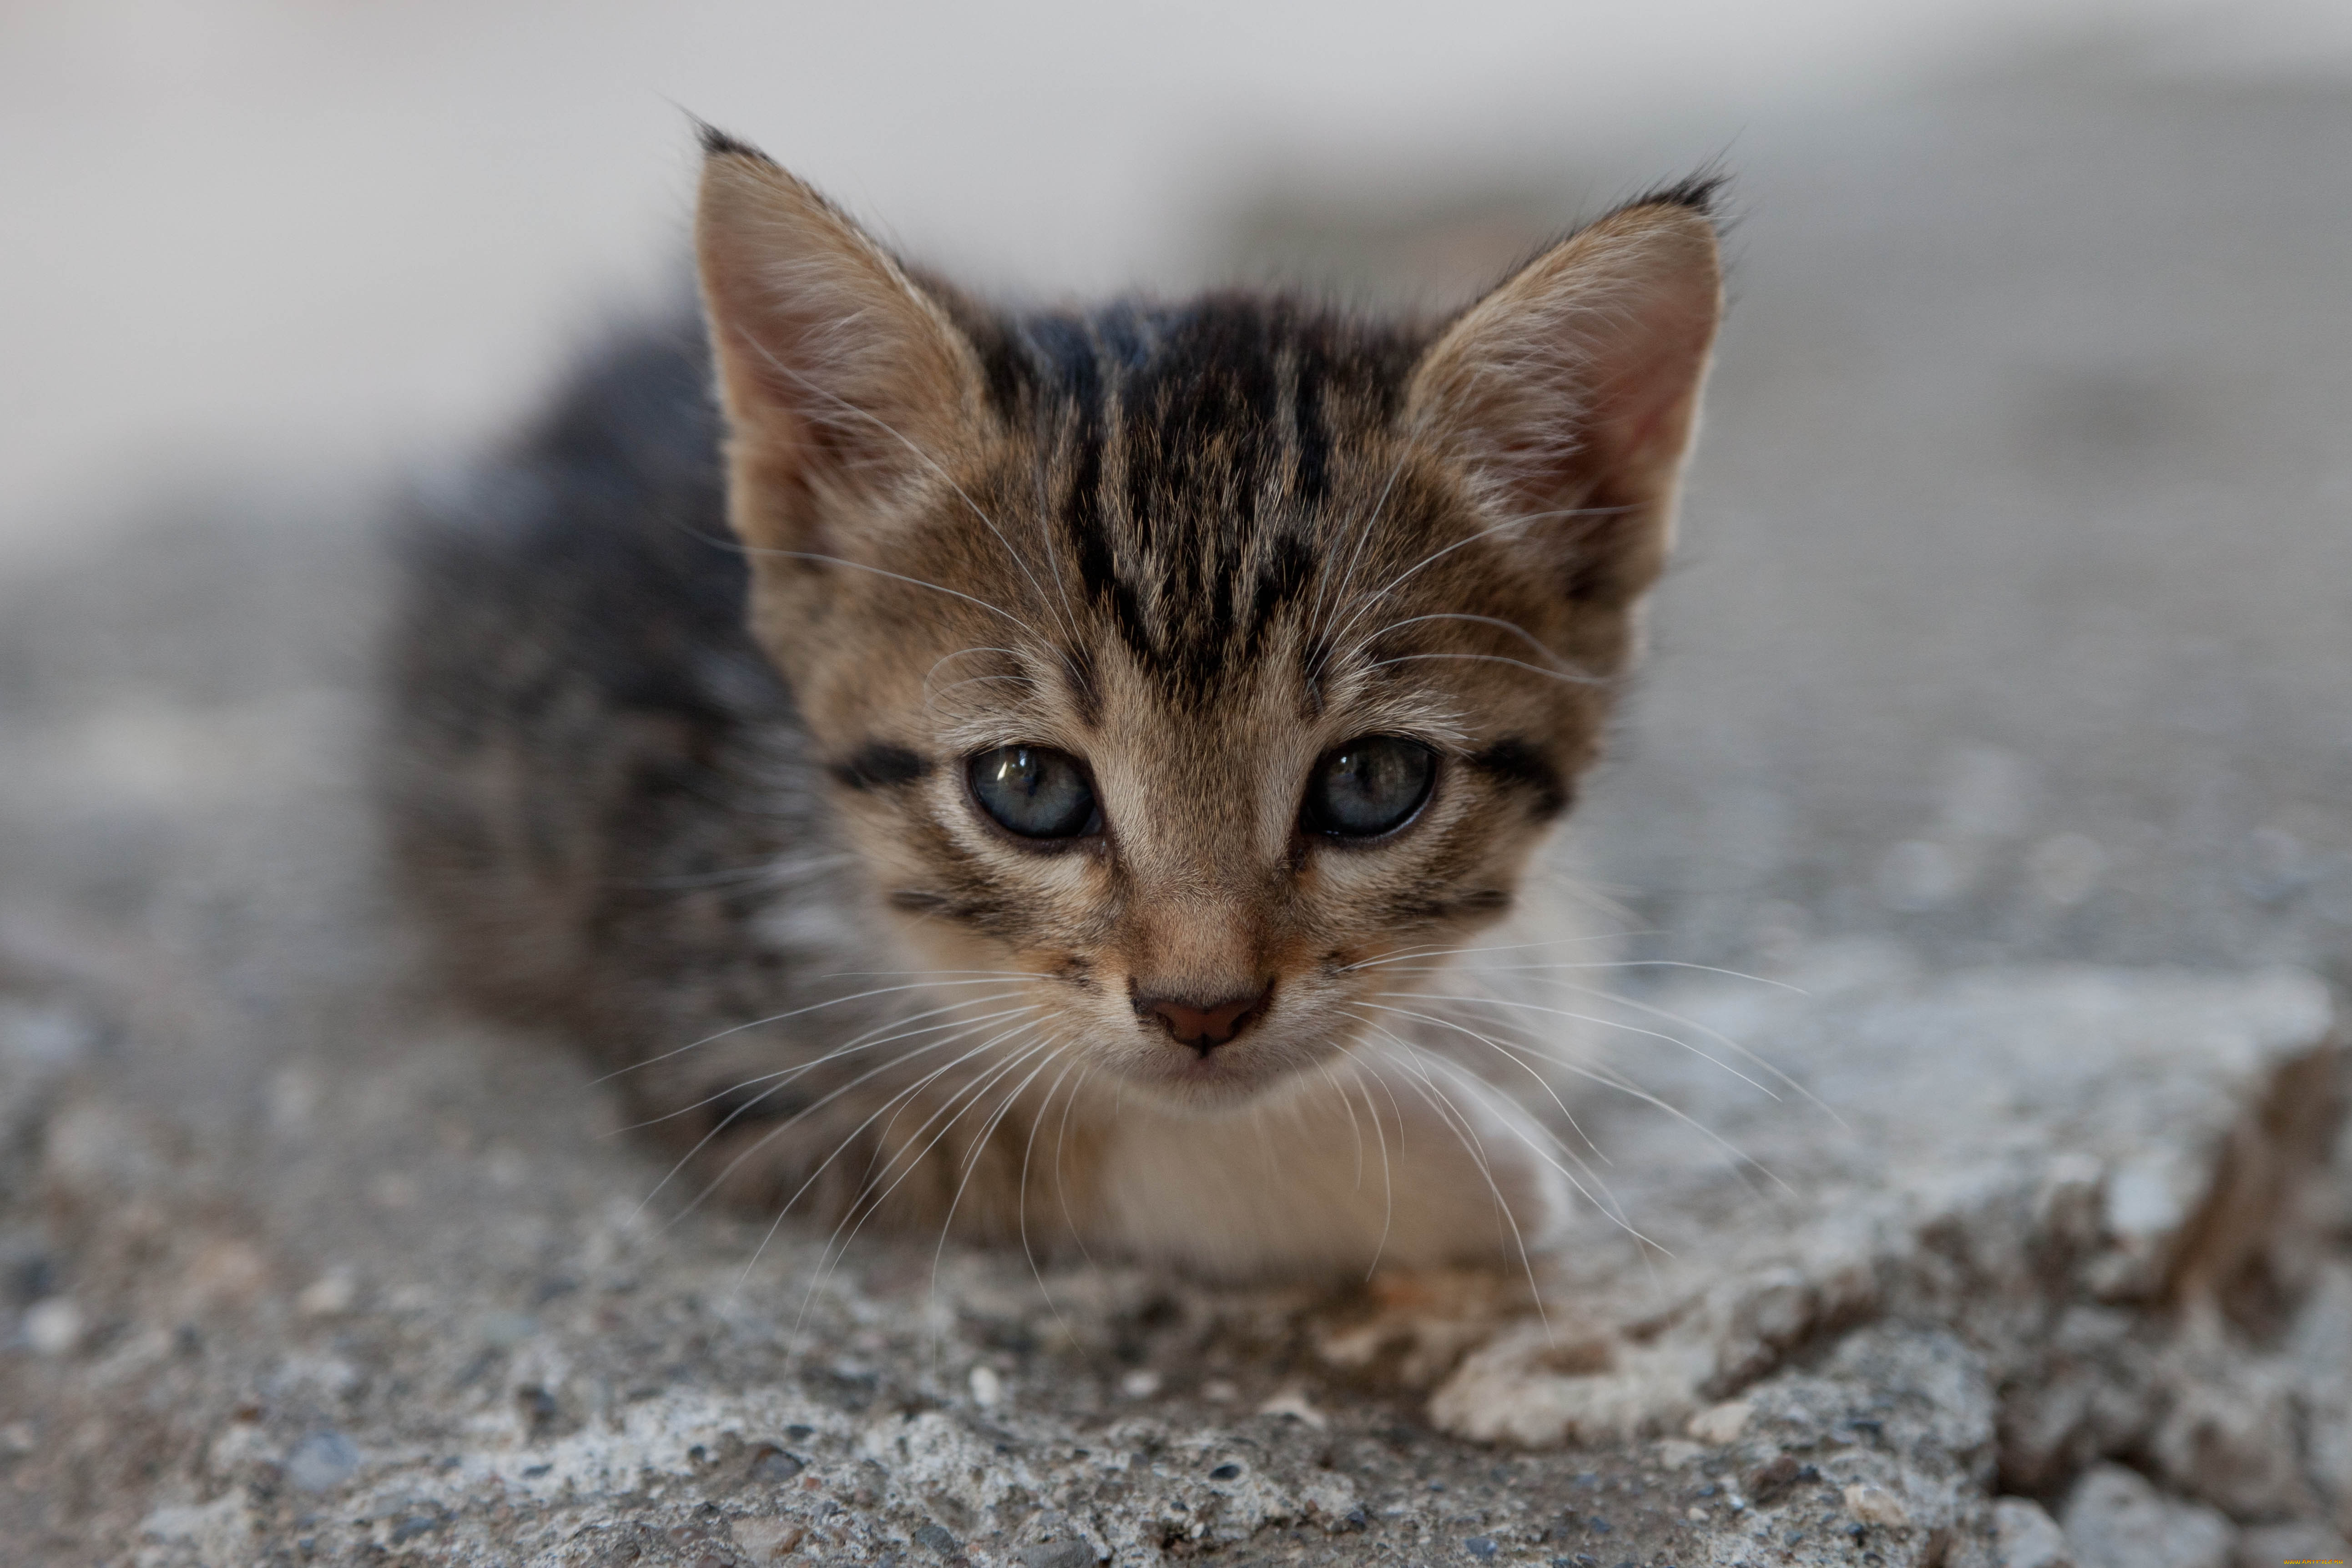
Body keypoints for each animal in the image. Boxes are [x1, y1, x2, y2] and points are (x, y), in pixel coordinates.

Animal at [381, 131, 1712, 1288]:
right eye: (1029, 788)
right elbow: (1052, 1124)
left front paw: (1496, 996)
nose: (1200, 1008)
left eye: (1372, 784)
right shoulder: (721, 1023)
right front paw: (1450, 1162)